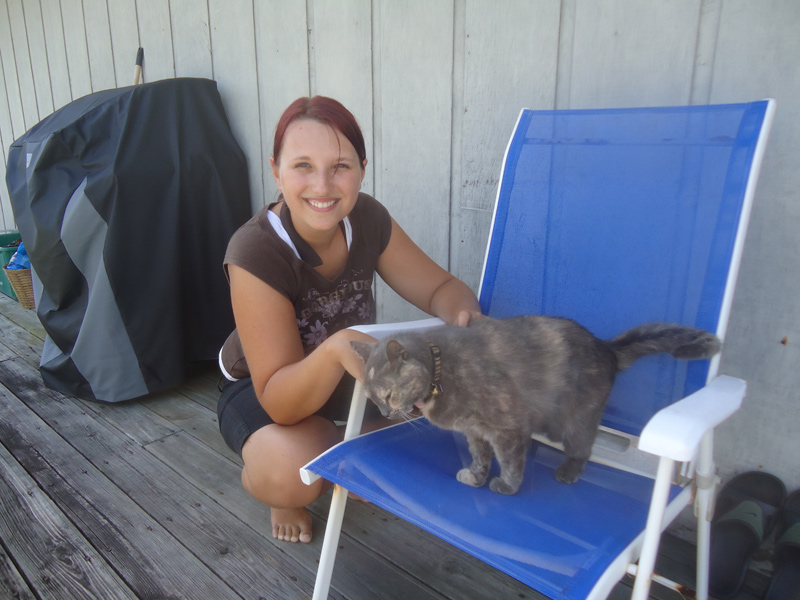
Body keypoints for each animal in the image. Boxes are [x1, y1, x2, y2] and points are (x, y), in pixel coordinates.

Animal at [351, 315, 721, 495]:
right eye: (373, 399)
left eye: (388, 395)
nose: (385, 413)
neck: (440, 372)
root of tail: (606, 348)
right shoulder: (475, 432)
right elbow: (480, 458)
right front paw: (476, 477)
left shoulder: (507, 428)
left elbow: (510, 461)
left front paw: (506, 487)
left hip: (573, 421)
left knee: (583, 447)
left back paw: (568, 472)